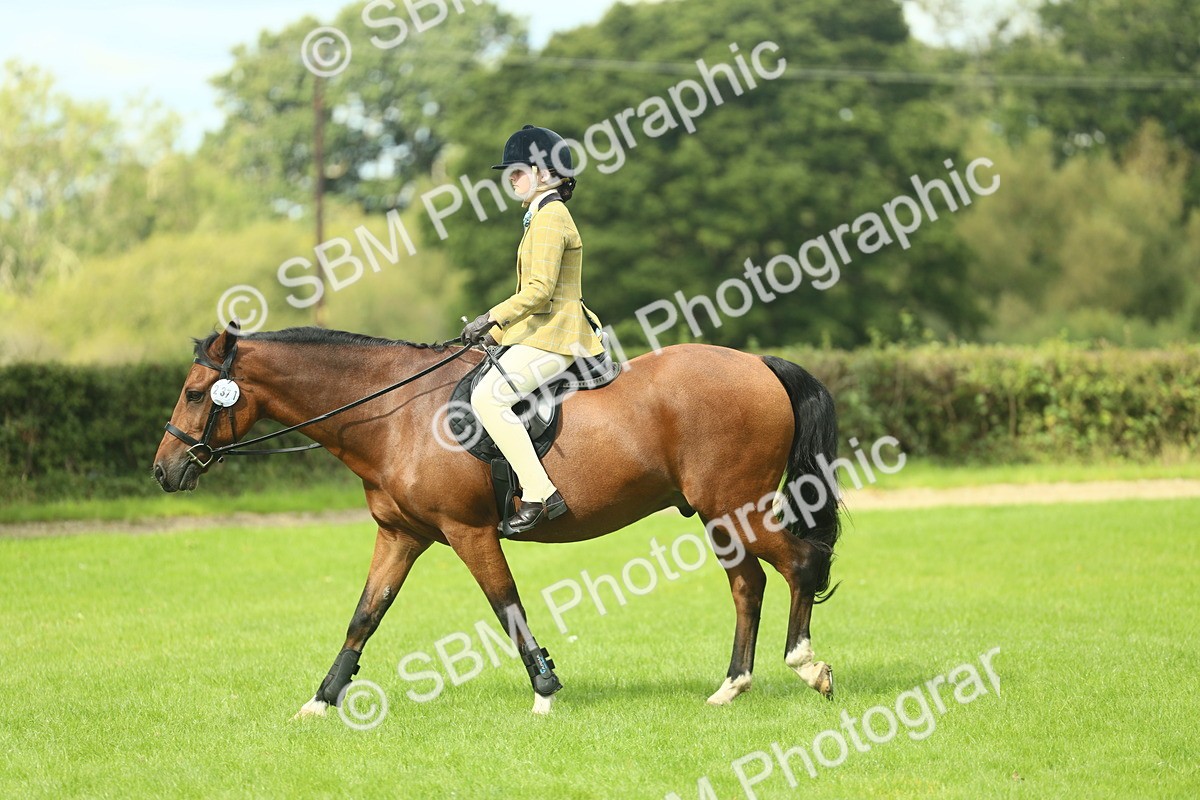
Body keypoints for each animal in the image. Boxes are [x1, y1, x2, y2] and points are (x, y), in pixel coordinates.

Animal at [152, 322, 841, 717]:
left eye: (193, 394)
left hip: (735, 504)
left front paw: (545, 691)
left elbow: (505, 604)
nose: (164, 471)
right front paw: (321, 702)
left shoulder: (468, 532)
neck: (399, 414)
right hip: (720, 514)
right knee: (748, 583)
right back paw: (733, 685)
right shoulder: (402, 535)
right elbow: (364, 617)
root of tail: (758, 363)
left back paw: (807, 665)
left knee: (798, 562)